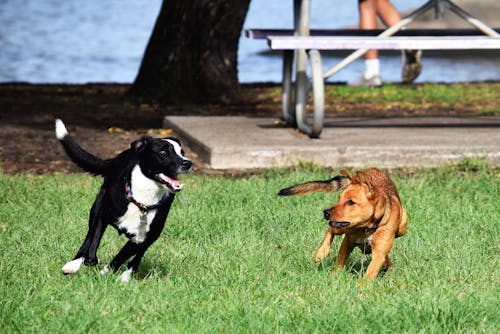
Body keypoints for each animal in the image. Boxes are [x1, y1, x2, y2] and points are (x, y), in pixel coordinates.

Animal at [55, 118, 191, 280]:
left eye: (182, 152)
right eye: (163, 152)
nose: (187, 163)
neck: (142, 200)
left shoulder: (141, 238)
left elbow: (123, 256)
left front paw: (110, 273)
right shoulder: (103, 214)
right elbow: (93, 242)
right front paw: (91, 261)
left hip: (153, 234)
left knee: (136, 257)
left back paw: (123, 275)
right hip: (96, 206)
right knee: (88, 237)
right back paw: (73, 264)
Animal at [280, 168, 408, 284]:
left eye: (351, 202)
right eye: (339, 198)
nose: (326, 212)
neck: (366, 228)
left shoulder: (379, 253)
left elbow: (371, 270)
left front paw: (361, 286)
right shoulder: (347, 242)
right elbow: (340, 261)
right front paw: (334, 276)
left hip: (402, 226)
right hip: (341, 228)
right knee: (331, 230)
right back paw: (321, 252)